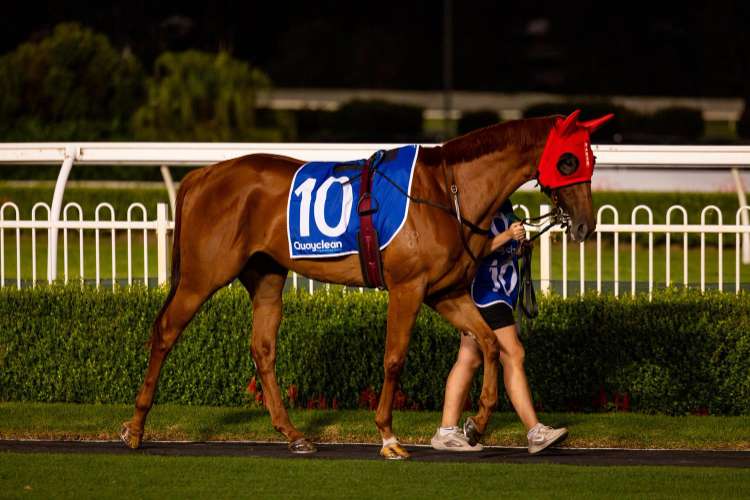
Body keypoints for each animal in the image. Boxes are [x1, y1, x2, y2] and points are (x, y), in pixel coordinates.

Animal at [120, 110, 613, 459]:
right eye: (569, 160)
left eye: (591, 162)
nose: (584, 225)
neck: (446, 191)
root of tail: (202, 175)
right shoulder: (408, 288)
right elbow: (394, 359)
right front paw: (389, 437)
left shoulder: (445, 292)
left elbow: (491, 343)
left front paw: (476, 423)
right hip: (202, 276)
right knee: (165, 332)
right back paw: (135, 428)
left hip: (266, 276)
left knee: (262, 349)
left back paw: (293, 434)